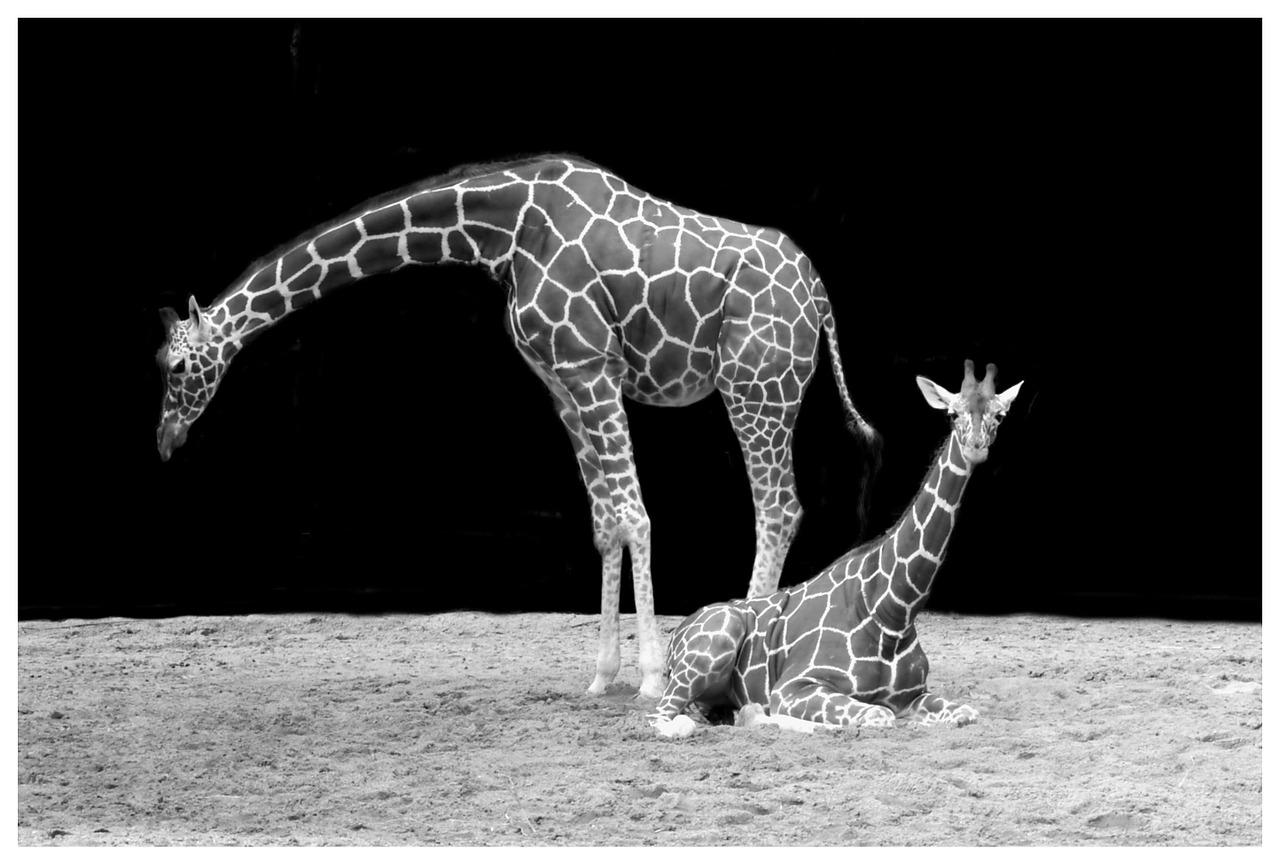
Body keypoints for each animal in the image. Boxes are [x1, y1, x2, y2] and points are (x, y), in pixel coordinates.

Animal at [153, 153, 877, 699]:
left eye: (178, 364)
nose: (165, 440)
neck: (504, 232)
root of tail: (820, 296)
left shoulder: (592, 366)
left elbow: (637, 515)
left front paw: (648, 678)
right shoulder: (563, 384)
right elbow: (605, 522)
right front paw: (602, 676)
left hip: (756, 386)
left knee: (779, 507)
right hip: (762, 389)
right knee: (777, 506)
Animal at [648, 360, 1023, 736]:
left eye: (1000, 414)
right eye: (952, 413)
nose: (975, 446)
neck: (892, 610)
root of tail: (675, 637)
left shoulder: (912, 695)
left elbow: (966, 712)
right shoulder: (793, 686)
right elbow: (878, 715)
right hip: (713, 646)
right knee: (663, 718)